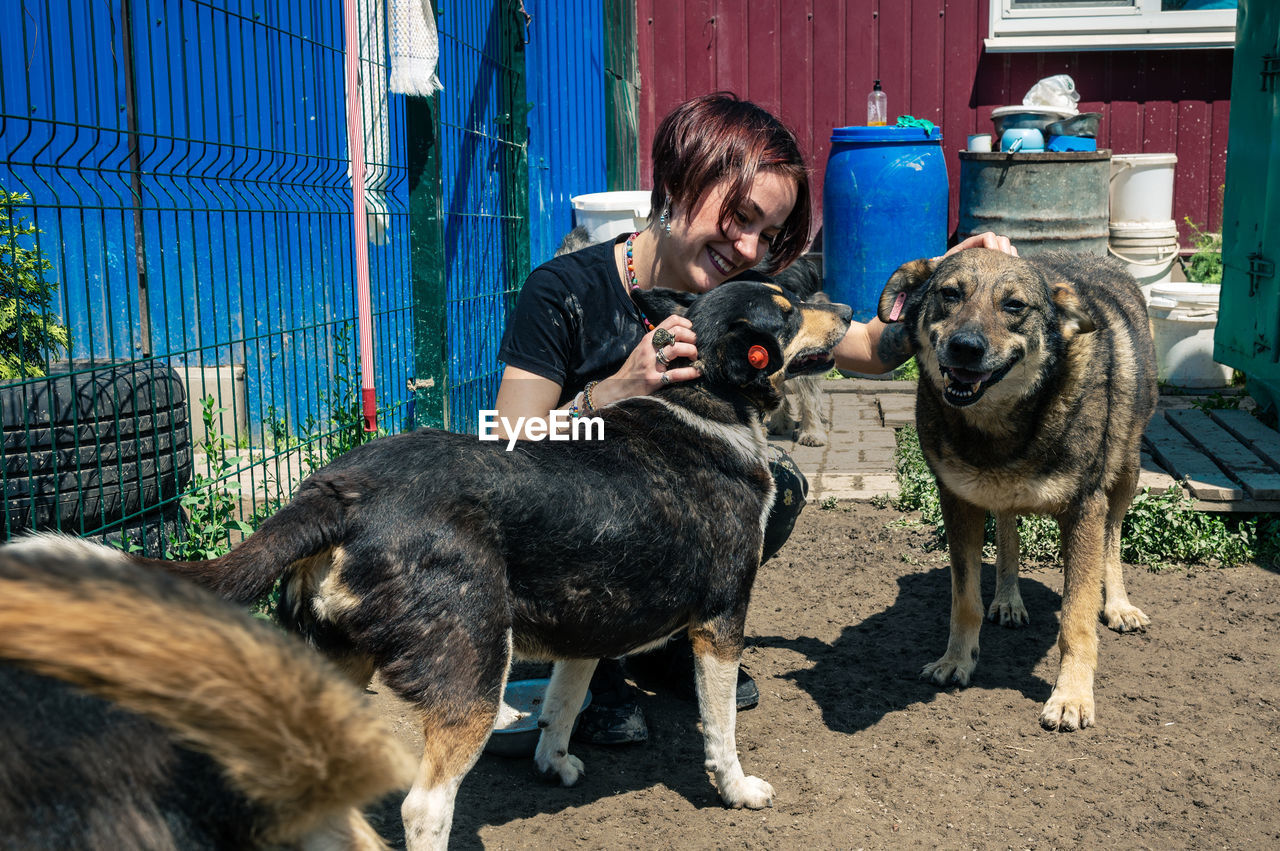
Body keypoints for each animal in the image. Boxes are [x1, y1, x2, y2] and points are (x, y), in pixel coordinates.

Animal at [880, 246, 1162, 731]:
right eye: (949, 294)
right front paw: (957, 661)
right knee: (1009, 528)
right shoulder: (959, 501)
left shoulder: (1085, 509)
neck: (1001, 425)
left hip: (1126, 472)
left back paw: (1118, 605)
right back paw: (1008, 598)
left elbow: (1076, 617)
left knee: (1113, 538)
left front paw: (1072, 697)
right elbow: (965, 599)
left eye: (1014, 305)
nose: (965, 347)